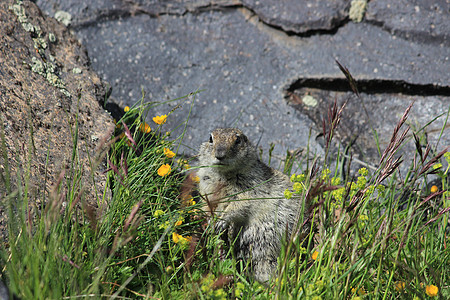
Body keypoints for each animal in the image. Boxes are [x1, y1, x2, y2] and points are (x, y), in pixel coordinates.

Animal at [198, 127, 306, 282]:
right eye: (210, 138)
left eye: (237, 140)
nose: (220, 155)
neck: (223, 176)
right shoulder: (206, 186)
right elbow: (206, 204)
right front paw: (208, 220)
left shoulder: (249, 187)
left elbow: (240, 205)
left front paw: (221, 220)